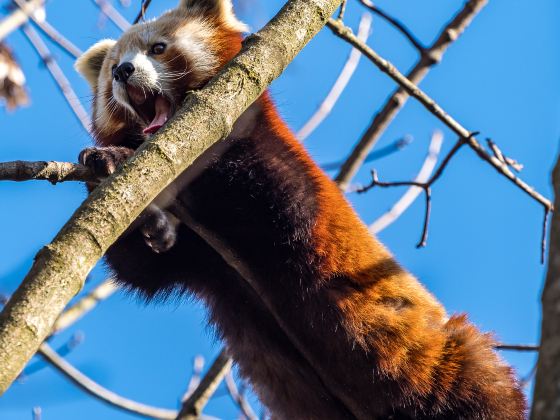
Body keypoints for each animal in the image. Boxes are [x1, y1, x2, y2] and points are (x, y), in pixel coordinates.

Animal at [74, 0, 524, 416]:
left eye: (158, 48)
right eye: (112, 67)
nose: (124, 72)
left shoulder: (274, 166)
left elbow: (266, 201)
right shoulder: (204, 266)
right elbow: (139, 267)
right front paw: (121, 182)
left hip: (453, 358)